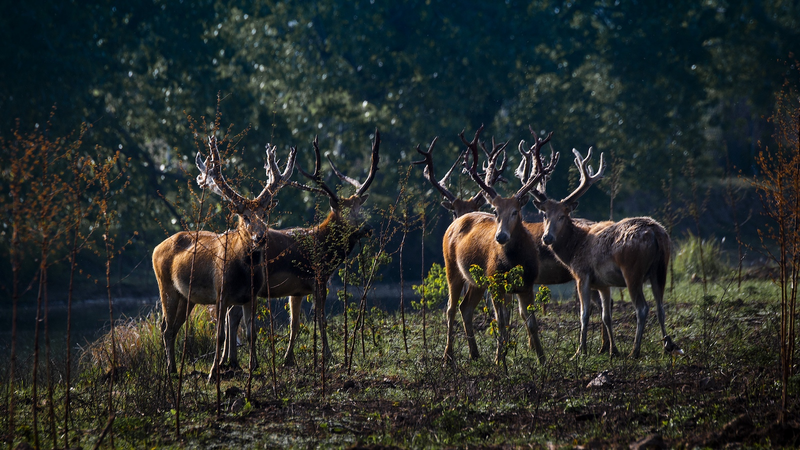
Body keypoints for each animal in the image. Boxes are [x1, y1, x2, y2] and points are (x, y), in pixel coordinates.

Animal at [152, 136, 296, 378]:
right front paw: (213, 373)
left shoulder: (252, 295)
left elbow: (250, 333)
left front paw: (253, 368)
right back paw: (171, 369)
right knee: (165, 327)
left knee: (171, 327)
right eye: (245, 216)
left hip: (187, 297)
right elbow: (219, 335)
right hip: (166, 287)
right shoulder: (220, 292)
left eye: (264, 213)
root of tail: (155, 249)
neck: (243, 274)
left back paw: (172, 368)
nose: (260, 237)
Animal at [222, 131, 380, 368]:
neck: (324, 249)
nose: (368, 228)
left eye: (360, 208)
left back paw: (229, 361)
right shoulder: (319, 279)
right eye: (345, 212)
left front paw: (287, 359)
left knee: (230, 315)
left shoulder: (296, 290)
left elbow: (294, 324)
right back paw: (235, 361)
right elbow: (321, 320)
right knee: (231, 314)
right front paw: (328, 355)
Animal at [441, 125, 559, 364]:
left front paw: (541, 358)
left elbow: (531, 322)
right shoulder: (496, 282)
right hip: (452, 267)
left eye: (516, 211)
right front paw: (499, 359)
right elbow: (502, 321)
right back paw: (448, 356)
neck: (513, 261)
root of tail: (456, 220)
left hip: (477, 281)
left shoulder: (527, 284)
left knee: (465, 307)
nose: (501, 237)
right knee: (450, 309)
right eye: (495, 211)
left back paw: (474, 353)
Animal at [531, 147, 673, 358]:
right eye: (544, 215)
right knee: (661, 307)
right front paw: (612, 350)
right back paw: (667, 347)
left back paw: (635, 351)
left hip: (633, 271)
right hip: (660, 270)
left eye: (563, 216)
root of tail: (656, 232)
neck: (574, 250)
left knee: (642, 308)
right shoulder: (603, 283)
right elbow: (606, 316)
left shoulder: (582, 275)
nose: (547, 238)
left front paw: (579, 351)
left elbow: (584, 314)